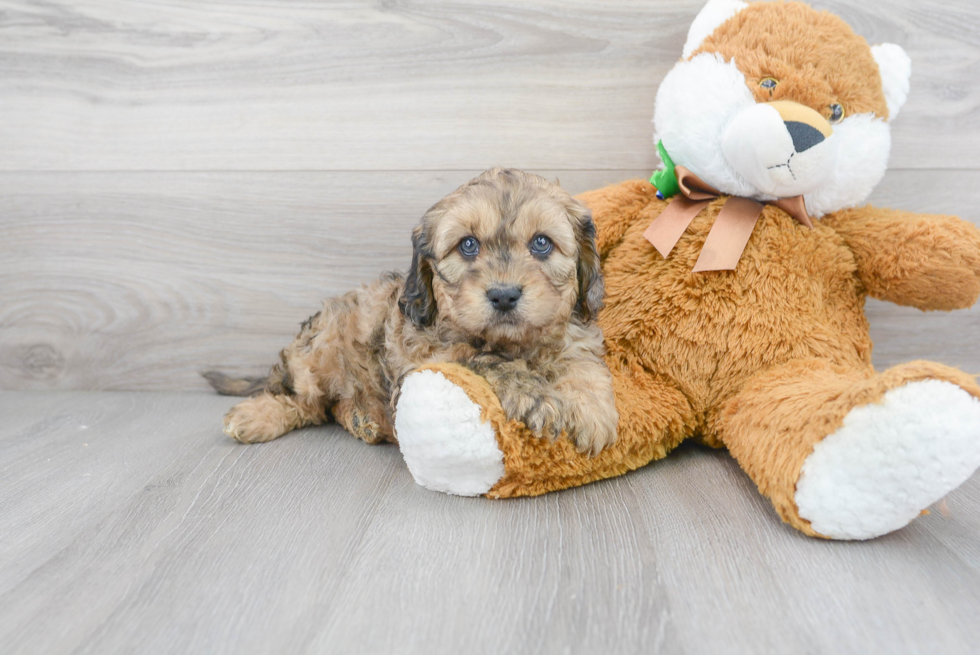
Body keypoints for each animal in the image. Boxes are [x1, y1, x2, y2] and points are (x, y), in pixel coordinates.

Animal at [205, 169, 620, 454]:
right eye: (468, 245)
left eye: (541, 243)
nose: (504, 296)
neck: (513, 342)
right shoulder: (429, 355)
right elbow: (487, 362)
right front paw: (535, 397)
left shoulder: (576, 336)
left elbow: (582, 365)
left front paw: (590, 411)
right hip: (318, 350)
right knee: (302, 400)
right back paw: (256, 416)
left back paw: (362, 418)